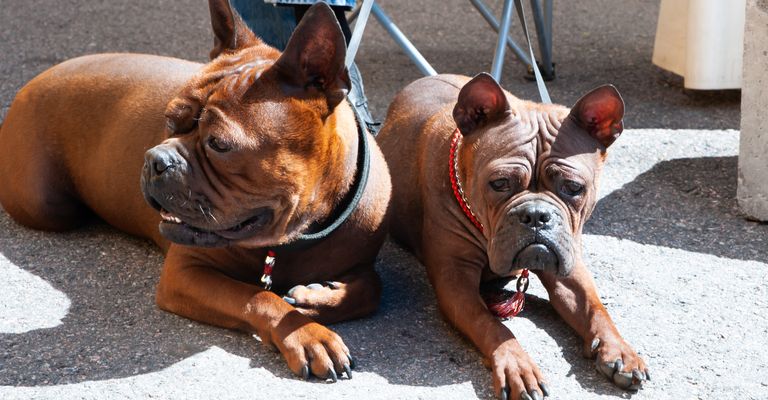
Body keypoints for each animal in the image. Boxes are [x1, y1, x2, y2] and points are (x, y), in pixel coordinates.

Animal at [0, 0, 390, 382]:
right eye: (170, 120)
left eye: (219, 144)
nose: (155, 159)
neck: (297, 237)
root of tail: (39, 78)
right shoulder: (185, 273)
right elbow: (256, 297)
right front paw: (308, 335)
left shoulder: (362, 262)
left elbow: (372, 289)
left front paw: (315, 298)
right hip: (47, 206)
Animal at [378, 73, 648, 398]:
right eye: (500, 183)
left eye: (573, 187)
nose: (536, 215)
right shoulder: (455, 281)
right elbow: (492, 325)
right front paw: (517, 366)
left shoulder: (570, 271)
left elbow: (596, 308)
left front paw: (619, 349)